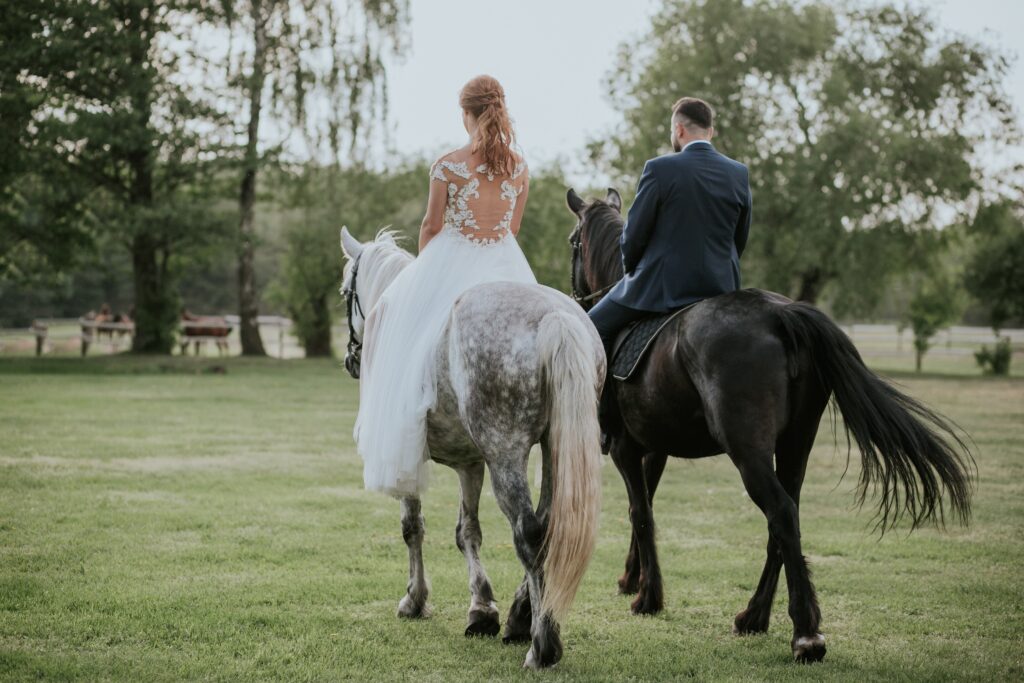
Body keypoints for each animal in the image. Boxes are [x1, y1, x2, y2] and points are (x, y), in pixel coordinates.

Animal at [339, 229, 602, 667]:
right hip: (552, 451)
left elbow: (413, 527)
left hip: (505, 454)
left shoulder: (408, 455)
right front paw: (482, 609)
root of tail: (554, 316)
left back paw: (541, 645)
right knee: (548, 527)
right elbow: (468, 532)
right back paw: (522, 617)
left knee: (528, 532)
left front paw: (415, 599)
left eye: (345, 291)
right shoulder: (470, 463)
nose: (350, 359)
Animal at [569, 187, 974, 663]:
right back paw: (755, 617)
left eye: (573, 242)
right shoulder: (654, 448)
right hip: (797, 441)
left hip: (748, 448)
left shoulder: (624, 447)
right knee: (787, 517)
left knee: (779, 511)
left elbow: (641, 513)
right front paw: (633, 580)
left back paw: (805, 635)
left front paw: (647, 598)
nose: (576, 296)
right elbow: (644, 508)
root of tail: (782, 314)